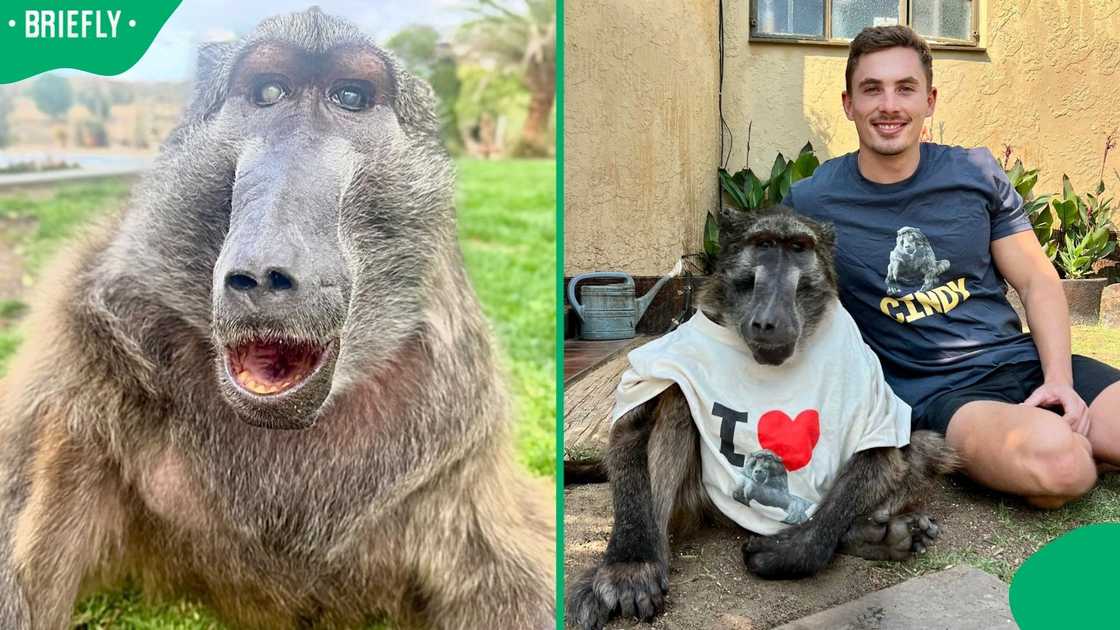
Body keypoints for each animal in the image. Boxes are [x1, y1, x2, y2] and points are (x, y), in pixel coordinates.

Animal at [566, 206, 957, 630]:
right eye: (765, 245)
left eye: (798, 248)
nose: (770, 320)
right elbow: (633, 423)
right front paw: (629, 565)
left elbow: (884, 452)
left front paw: (795, 553)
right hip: (696, 502)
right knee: (677, 401)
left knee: (927, 446)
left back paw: (871, 536)